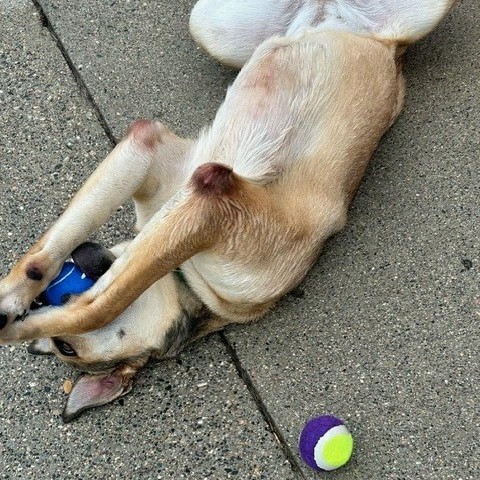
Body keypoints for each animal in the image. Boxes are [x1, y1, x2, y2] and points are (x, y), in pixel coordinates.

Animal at [0, 0, 456, 420]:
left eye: (65, 348)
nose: (86, 255)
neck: (188, 280)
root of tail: (387, 44)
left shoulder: (208, 201)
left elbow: (101, 305)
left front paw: (20, 324)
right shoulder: (149, 152)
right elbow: (47, 257)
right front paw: (13, 299)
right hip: (211, 25)